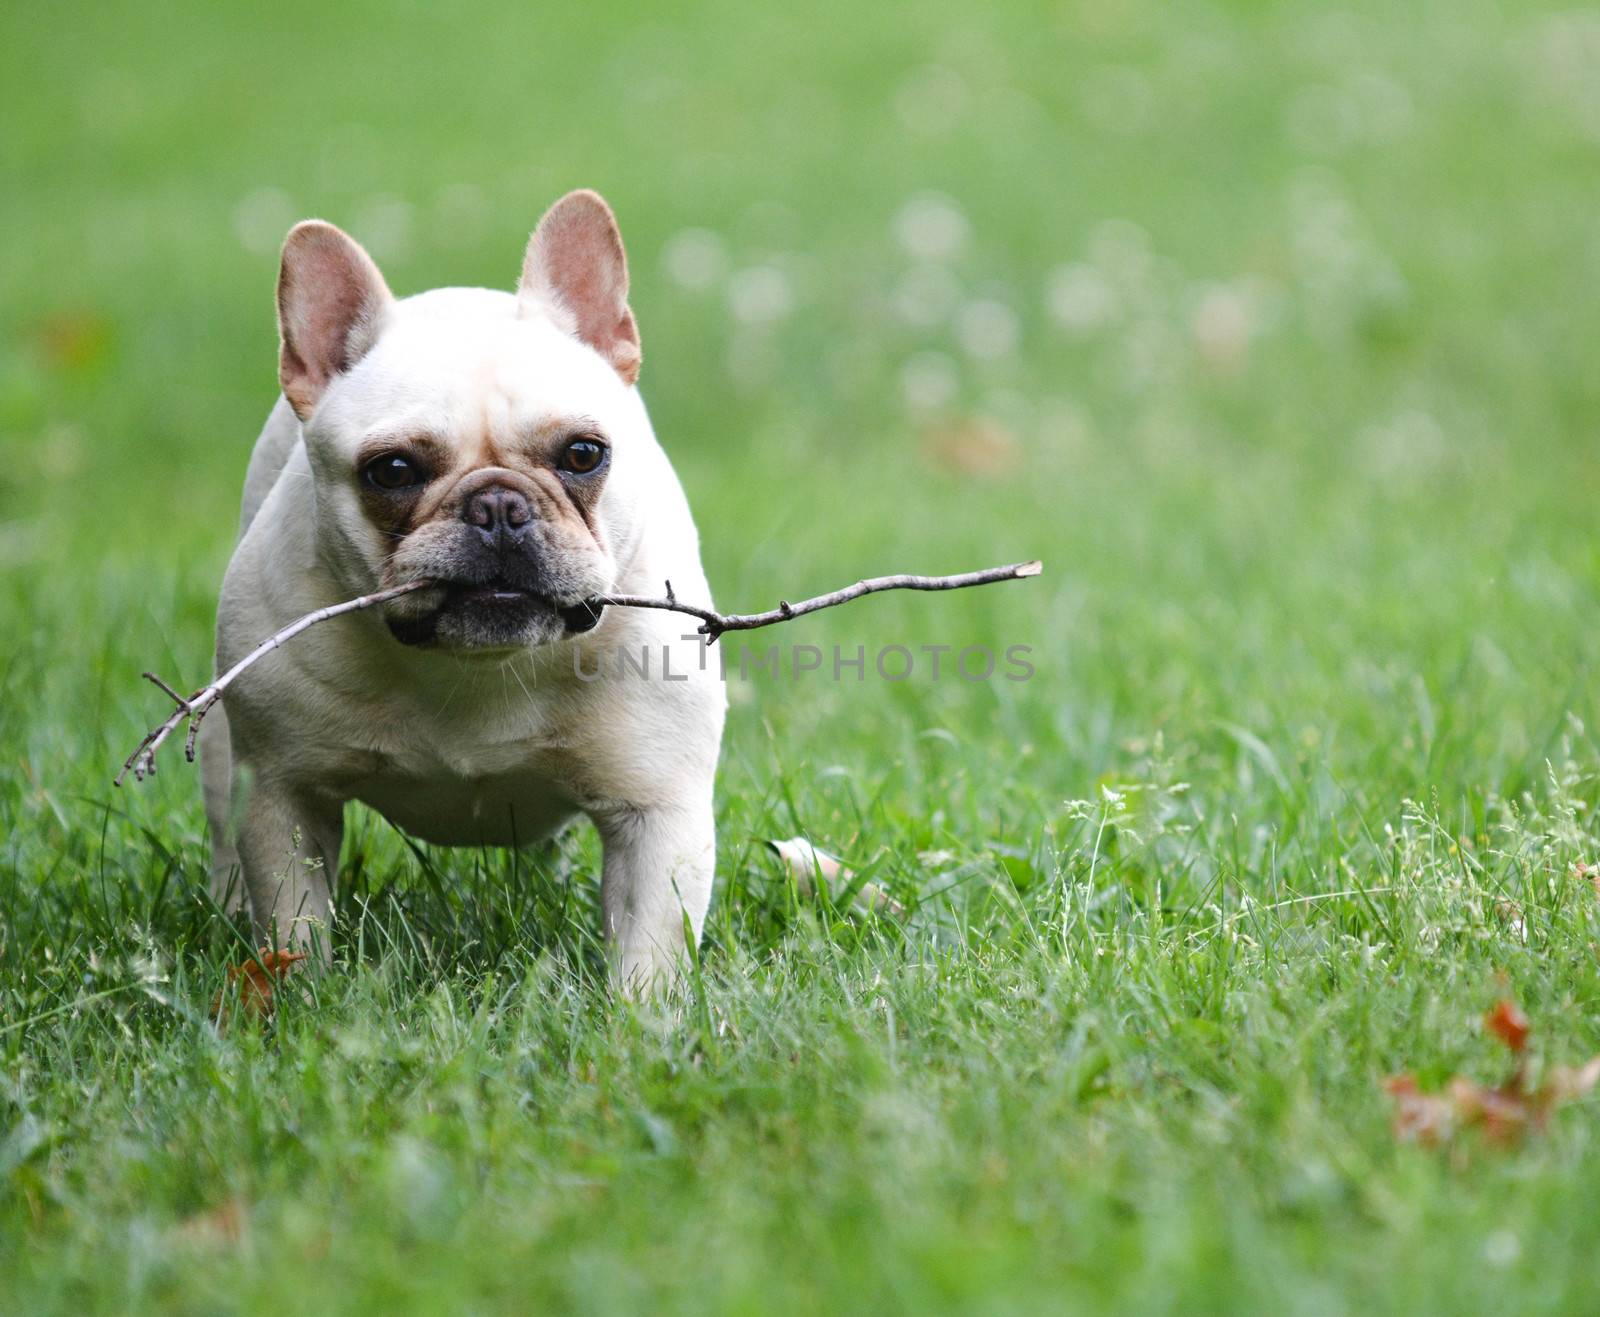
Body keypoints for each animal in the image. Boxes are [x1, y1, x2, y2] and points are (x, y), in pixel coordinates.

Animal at [196, 185, 729, 985]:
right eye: (391, 471)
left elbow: (649, 948)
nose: (498, 507)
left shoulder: (658, 811)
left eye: (584, 453)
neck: (476, 667)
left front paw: (643, 1014)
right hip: (226, 757)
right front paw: (302, 996)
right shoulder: (286, 797)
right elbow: (296, 919)